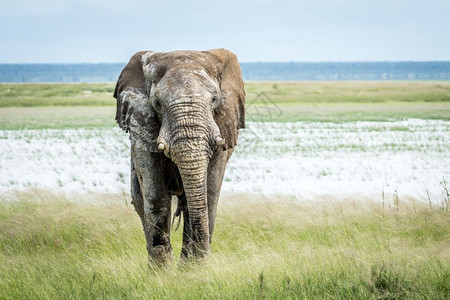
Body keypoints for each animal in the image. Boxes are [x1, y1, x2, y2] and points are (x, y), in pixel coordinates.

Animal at [113, 48, 246, 264]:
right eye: (157, 103)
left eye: (215, 99)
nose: (201, 258)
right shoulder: (141, 122)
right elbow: (156, 194)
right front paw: (163, 270)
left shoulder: (224, 123)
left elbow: (209, 193)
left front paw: (193, 268)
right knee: (141, 201)